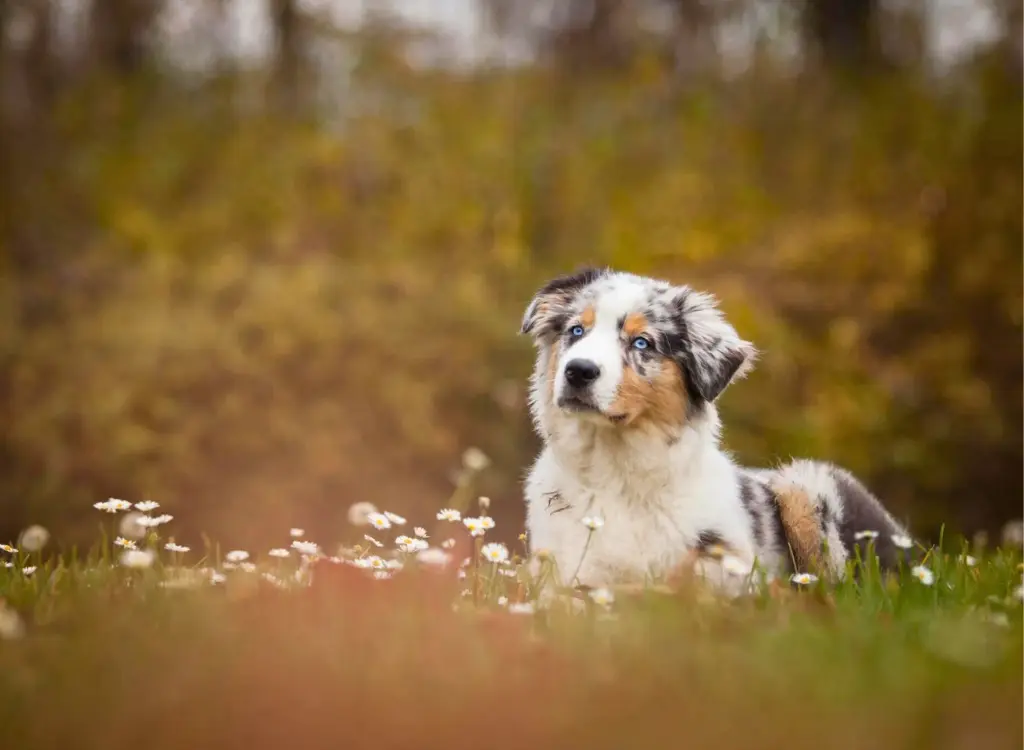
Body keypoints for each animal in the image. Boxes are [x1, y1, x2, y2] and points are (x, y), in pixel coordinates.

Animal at [520, 266, 913, 594]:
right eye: (576, 331)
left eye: (641, 342)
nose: (578, 371)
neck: (613, 468)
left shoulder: (731, 566)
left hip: (806, 485)